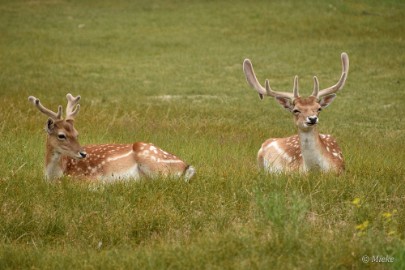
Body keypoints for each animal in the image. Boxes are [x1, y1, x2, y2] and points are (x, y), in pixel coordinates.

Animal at [27, 93, 195, 181]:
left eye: (76, 133)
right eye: (61, 135)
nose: (83, 153)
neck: (54, 175)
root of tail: (186, 166)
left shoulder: (88, 177)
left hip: (154, 164)